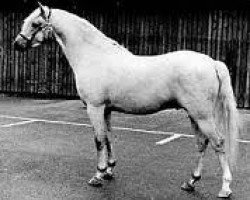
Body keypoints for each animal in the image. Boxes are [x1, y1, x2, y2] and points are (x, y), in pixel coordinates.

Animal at [14, 3, 240, 198]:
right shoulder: (106, 110)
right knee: (202, 144)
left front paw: (98, 175)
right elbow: (108, 137)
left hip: (202, 116)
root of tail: (212, 62)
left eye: (35, 23)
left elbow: (98, 140)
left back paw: (225, 188)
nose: (17, 44)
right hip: (194, 116)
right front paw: (109, 170)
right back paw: (191, 182)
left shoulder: (94, 108)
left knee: (218, 143)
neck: (94, 56)